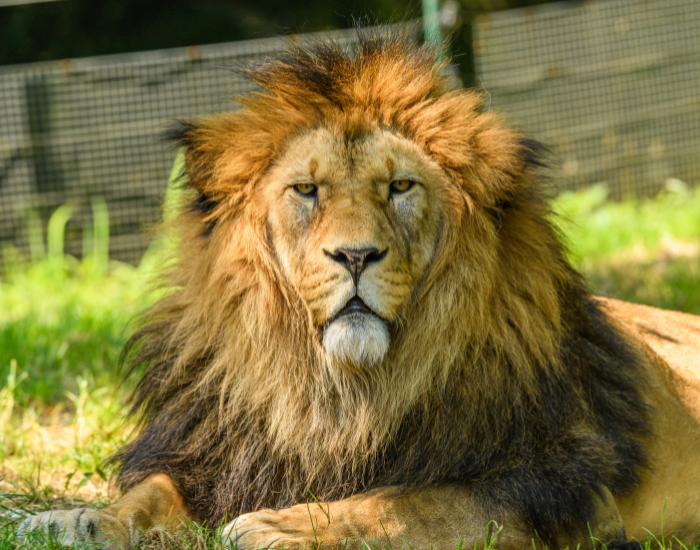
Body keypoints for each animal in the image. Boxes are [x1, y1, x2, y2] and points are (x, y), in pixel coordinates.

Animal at [19, 29, 700, 550]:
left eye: (399, 187)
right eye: (306, 189)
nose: (355, 255)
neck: (335, 396)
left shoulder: (555, 481)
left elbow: (408, 501)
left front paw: (287, 526)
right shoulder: (213, 451)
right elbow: (149, 493)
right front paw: (77, 520)